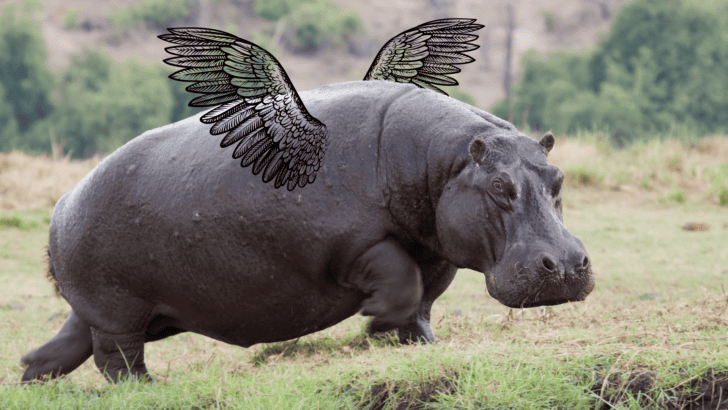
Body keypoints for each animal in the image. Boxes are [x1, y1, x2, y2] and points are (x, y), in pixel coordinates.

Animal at [20, 81, 594, 383]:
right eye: (499, 185)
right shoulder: (357, 246)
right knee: (116, 360)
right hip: (117, 310)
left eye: (559, 177)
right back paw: (148, 386)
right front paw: (376, 323)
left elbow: (424, 301)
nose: (566, 265)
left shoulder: (437, 252)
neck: (443, 163)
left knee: (63, 349)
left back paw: (29, 376)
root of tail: (62, 204)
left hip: (110, 311)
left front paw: (422, 345)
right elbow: (400, 280)